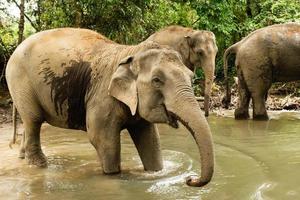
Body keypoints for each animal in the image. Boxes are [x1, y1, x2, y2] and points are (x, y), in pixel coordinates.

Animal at [5, 27, 214, 187]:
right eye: (157, 80)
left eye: (191, 77)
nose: (190, 179)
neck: (132, 52)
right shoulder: (102, 97)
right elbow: (102, 138)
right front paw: (113, 176)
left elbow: (150, 139)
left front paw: (155, 173)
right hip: (21, 82)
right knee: (33, 120)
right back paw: (40, 165)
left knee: (29, 123)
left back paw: (23, 158)